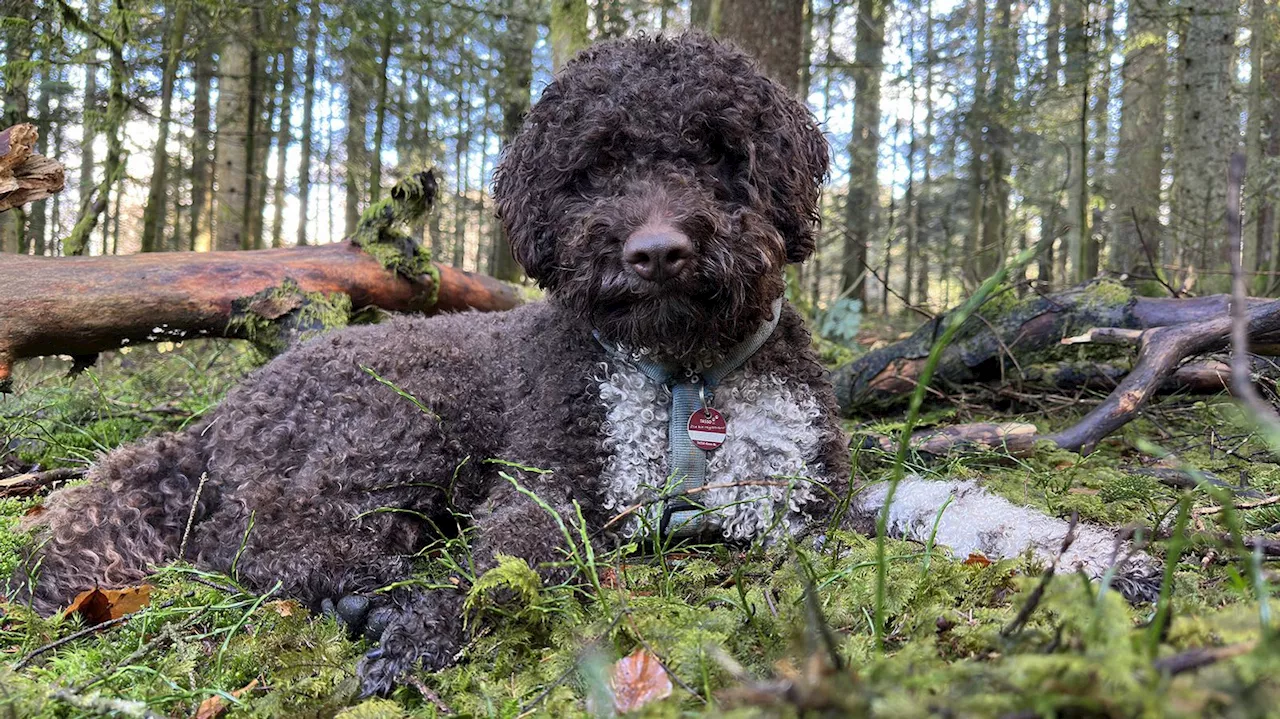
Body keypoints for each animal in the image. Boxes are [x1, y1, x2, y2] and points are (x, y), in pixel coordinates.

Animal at [7, 35, 1162, 695]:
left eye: (718, 150)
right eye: (593, 166)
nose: (655, 248)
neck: (686, 376)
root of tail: (213, 418)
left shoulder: (803, 495)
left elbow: (949, 500)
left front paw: (1097, 555)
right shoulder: (553, 481)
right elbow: (506, 563)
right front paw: (426, 632)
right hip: (400, 416)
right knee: (256, 536)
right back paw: (371, 591)